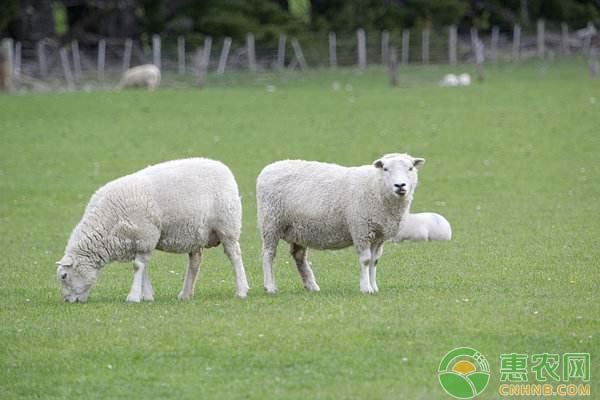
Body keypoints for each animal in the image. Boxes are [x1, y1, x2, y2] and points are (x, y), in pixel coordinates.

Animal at [57, 158, 250, 302]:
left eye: (64, 276)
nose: (67, 301)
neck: (107, 223)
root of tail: (222, 167)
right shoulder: (140, 242)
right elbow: (143, 267)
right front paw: (147, 295)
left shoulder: (145, 236)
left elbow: (138, 266)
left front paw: (134, 297)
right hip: (196, 233)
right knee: (195, 261)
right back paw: (185, 294)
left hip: (227, 226)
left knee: (234, 255)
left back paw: (241, 290)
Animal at [255, 153, 424, 294]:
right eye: (386, 169)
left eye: (410, 168)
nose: (400, 185)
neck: (376, 187)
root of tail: (269, 168)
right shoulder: (361, 229)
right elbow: (366, 260)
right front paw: (366, 288)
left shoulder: (378, 236)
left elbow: (374, 261)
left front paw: (374, 287)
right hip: (270, 222)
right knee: (268, 254)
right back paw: (270, 286)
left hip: (298, 229)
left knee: (299, 256)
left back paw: (311, 285)